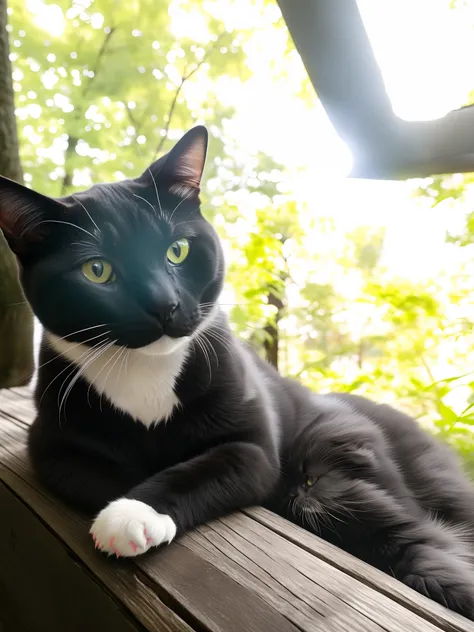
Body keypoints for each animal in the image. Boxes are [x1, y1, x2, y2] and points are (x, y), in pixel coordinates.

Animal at [0, 127, 318, 556]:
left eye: (177, 250)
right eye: (96, 270)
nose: (164, 305)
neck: (144, 368)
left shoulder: (252, 442)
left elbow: (210, 465)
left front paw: (134, 513)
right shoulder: (50, 441)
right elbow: (105, 473)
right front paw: (127, 504)